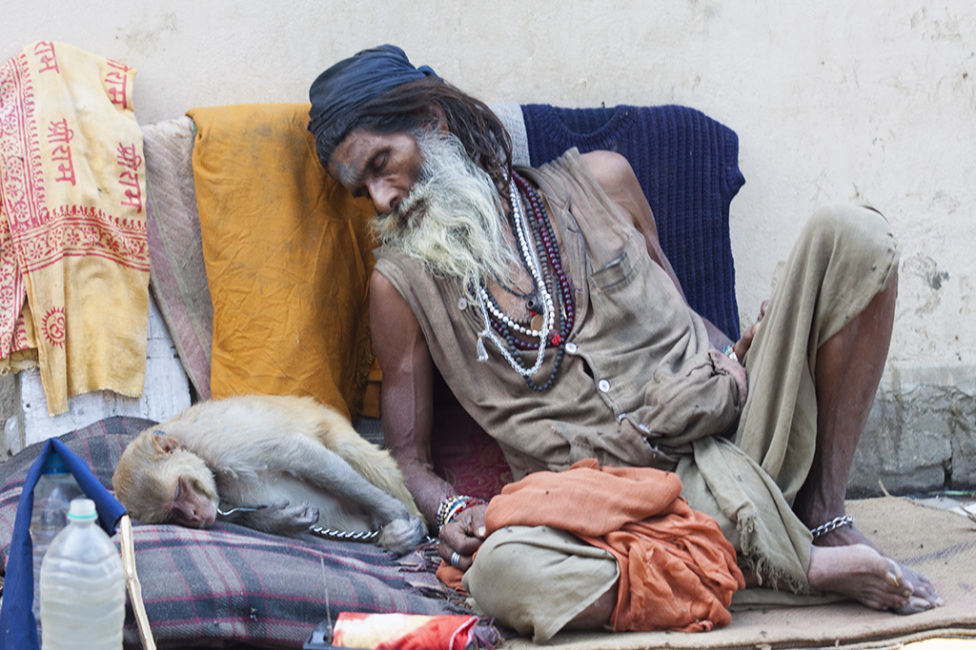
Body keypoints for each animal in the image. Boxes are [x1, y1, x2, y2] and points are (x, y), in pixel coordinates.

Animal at [110, 392, 428, 556]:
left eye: (178, 491)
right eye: (172, 514)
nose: (195, 516)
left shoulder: (222, 445)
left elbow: (299, 454)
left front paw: (395, 512)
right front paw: (281, 520)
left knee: (342, 447)